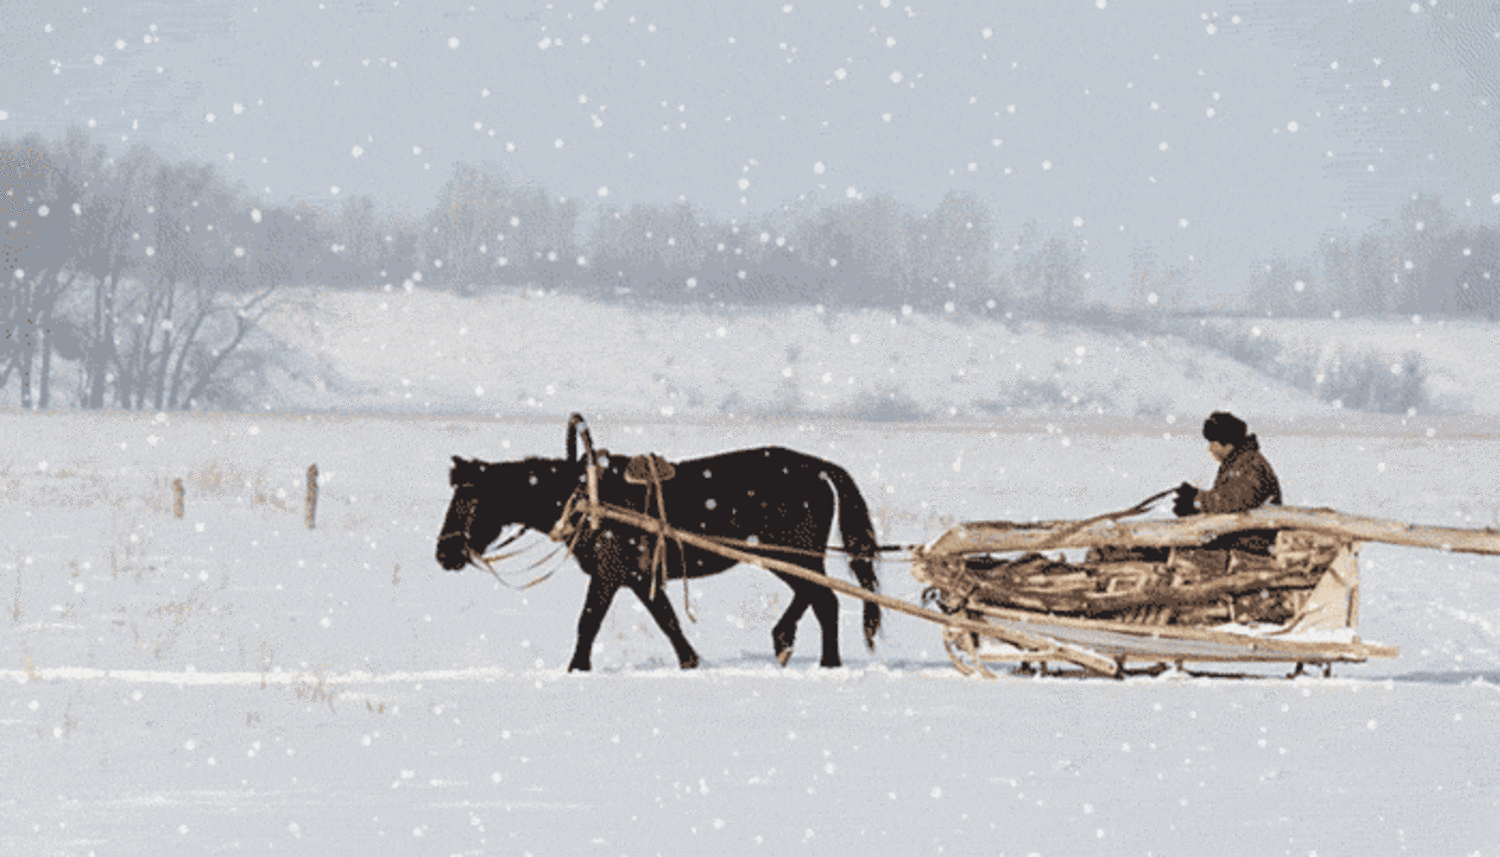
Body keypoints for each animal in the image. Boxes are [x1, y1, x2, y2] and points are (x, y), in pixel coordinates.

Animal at [435, 417, 876, 669]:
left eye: (468, 501)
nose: (443, 553)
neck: (586, 499)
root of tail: (818, 467)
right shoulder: (637, 576)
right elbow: (667, 620)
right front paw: (690, 661)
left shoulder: (610, 573)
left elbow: (588, 623)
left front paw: (577, 669)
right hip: (783, 556)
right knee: (815, 596)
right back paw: (787, 641)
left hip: (789, 553)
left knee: (824, 600)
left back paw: (824, 660)